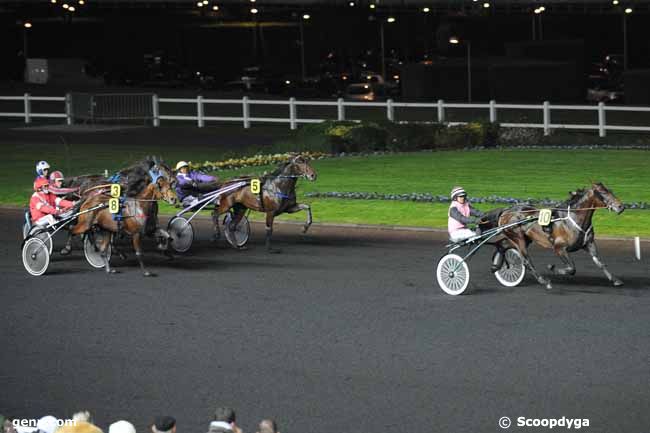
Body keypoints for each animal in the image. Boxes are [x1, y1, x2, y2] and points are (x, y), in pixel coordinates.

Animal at [486, 182, 624, 290]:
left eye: (610, 190)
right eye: (603, 192)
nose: (621, 206)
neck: (573, 219)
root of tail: (505, 211)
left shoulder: (589, 244)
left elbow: (600, 263)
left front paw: (616, 280)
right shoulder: (559, 248)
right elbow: (571, 268)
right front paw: (552, 268)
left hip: (524, 238)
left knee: (502, 245)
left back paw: (496, 266)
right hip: (518, 238)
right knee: (526, 261)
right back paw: (543, 281)